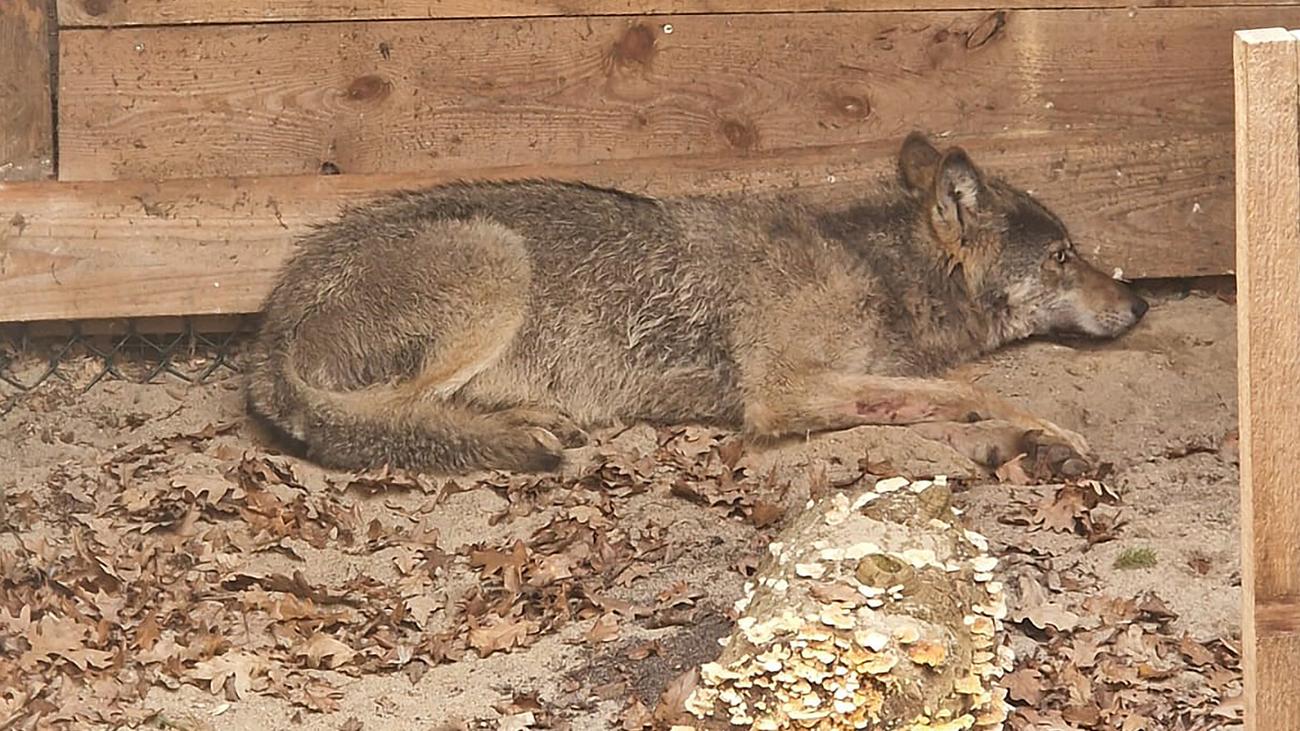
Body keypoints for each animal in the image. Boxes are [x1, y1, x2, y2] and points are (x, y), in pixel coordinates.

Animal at [244, 132, 1148, 477]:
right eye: (1064, 256)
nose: (1140, 302)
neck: (875, 268)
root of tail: (268, 329)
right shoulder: (781, 392)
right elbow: (973, 389)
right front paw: (1050, 434)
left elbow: (945, 392)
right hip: (497, 259)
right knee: (392, 416)